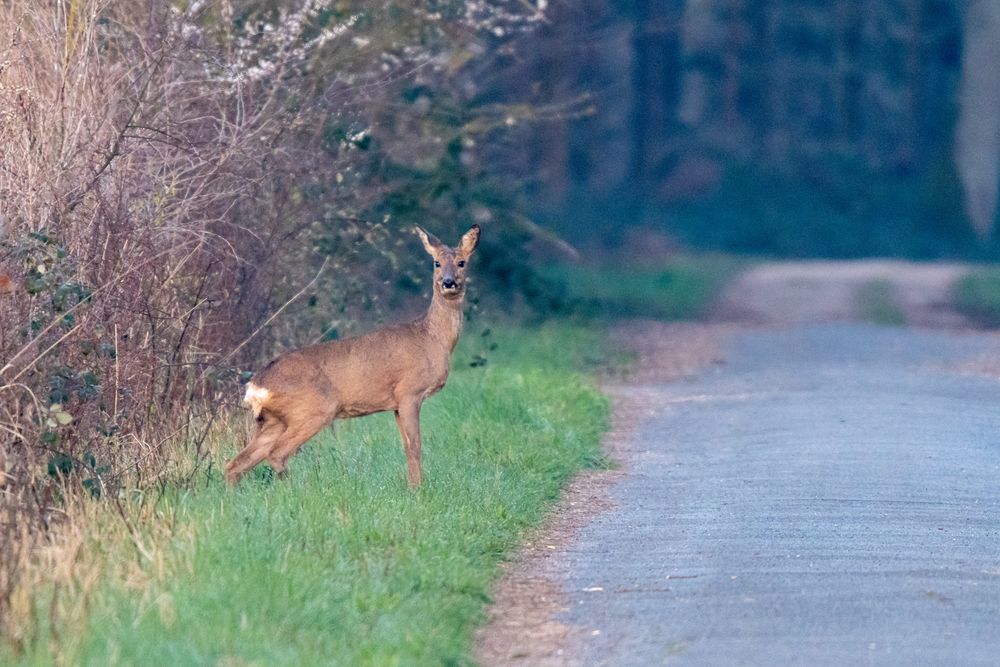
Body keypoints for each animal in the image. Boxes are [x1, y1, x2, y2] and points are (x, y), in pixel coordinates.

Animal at [225, 226, 482, 490]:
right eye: (436, 262)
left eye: (462, 262)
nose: (449, 283)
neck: (432, 337)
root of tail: (255, 386)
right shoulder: (409, 392)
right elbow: (415, 446)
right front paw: (417, 489)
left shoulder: (396, 404)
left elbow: (406, 446)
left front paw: (413, 486)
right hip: (312, 410)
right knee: (276, 454)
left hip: (273, 421)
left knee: (236, 463)